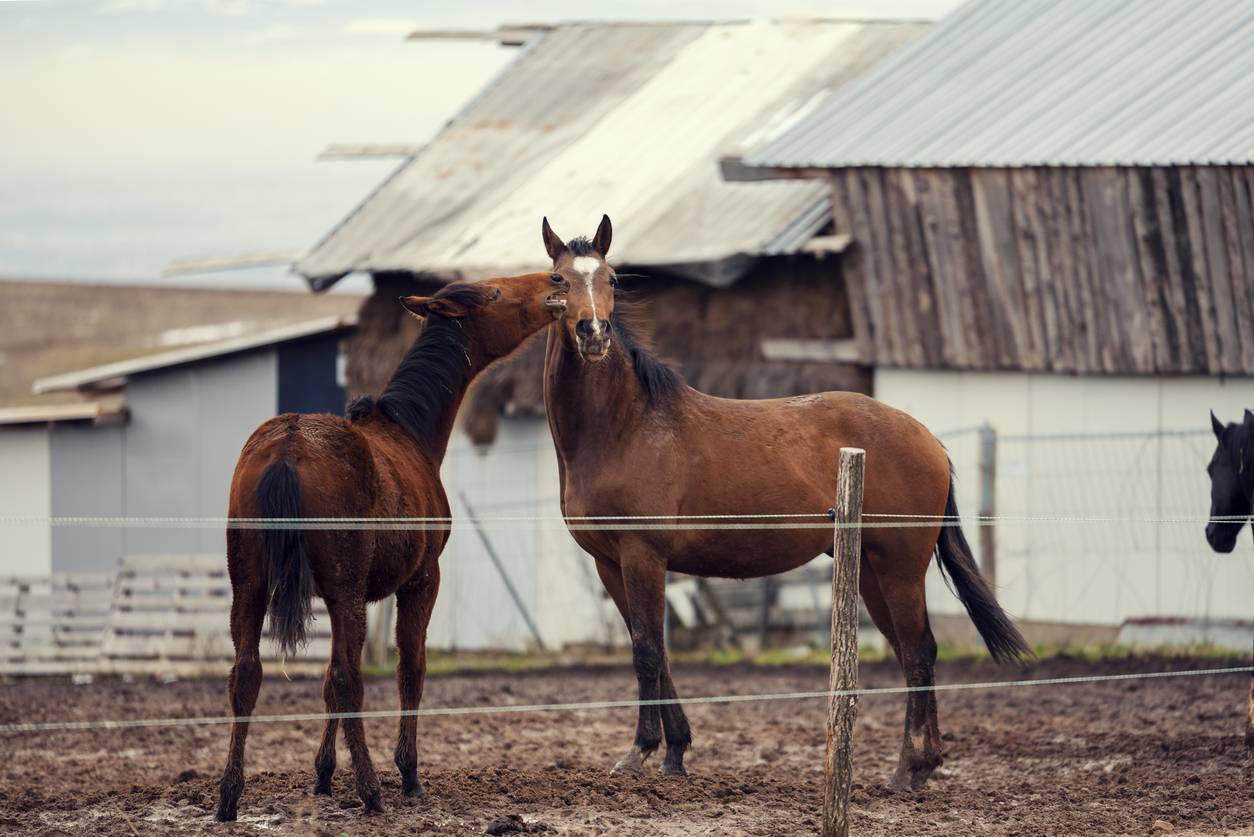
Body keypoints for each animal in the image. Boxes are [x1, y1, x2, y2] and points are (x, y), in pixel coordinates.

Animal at [216, 273, 569, 818]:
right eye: (494, 293)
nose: (555, 279)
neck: (412, 433)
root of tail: (287, 449)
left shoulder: (341, 596)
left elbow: (325, 681)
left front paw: (322, 774)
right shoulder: (420, 579)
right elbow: (409, 669)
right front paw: (408, 773)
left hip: (252, 585)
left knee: (247, 675)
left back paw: (229, 797)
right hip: (341, 588)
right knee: (349, 680)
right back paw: (371, 790)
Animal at [539, 215, 1028, 793]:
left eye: (612, 279)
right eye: (558, 279)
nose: (593, 334)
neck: (625, 426)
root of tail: (927, 438)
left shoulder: (643, 557)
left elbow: (646, 653)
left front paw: (639, 753)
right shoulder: (610, 563)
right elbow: (656, 651)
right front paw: (675, 751)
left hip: (901, 566)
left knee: (920, 650)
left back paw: (909, 768)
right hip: (868, 569)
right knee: (910, 650)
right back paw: (923, 764)